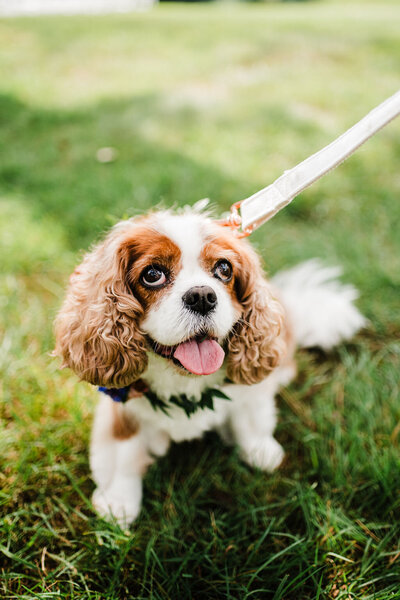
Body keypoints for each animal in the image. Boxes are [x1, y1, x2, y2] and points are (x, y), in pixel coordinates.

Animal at [54, 206, 366, 524]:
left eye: (224, 269)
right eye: (152, 274)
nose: (202, 295)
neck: (185, 380)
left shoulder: (249, 393)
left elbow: (251, 417)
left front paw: (260, 450)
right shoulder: (123, 405)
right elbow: (124, 452)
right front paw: (119, 501)